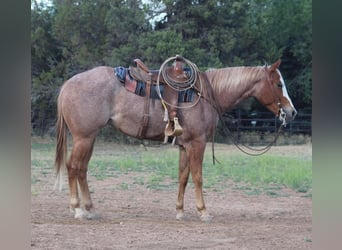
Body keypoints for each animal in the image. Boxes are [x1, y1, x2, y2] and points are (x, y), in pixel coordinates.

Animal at [54, 57, 296, 222]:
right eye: (278, 84)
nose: (291, 112)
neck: (205, 94)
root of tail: (67, 85)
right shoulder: (197, 143)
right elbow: (198, 177)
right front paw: (203, 211)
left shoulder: (185, 146)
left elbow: (183, 177)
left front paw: (180, 211)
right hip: (84, 137)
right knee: (73, 166)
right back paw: (77, 209)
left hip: (89, 138)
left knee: (82, 169)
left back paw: (89, 208)